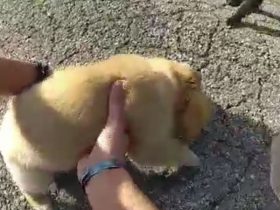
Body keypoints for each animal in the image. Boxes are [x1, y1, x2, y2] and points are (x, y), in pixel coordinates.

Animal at [0, 54, 212, 210]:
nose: (200, 133)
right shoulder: (148, 115)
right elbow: (152, 150)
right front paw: (193, 159)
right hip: (27, 170)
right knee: (33, 191)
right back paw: (45, 204)